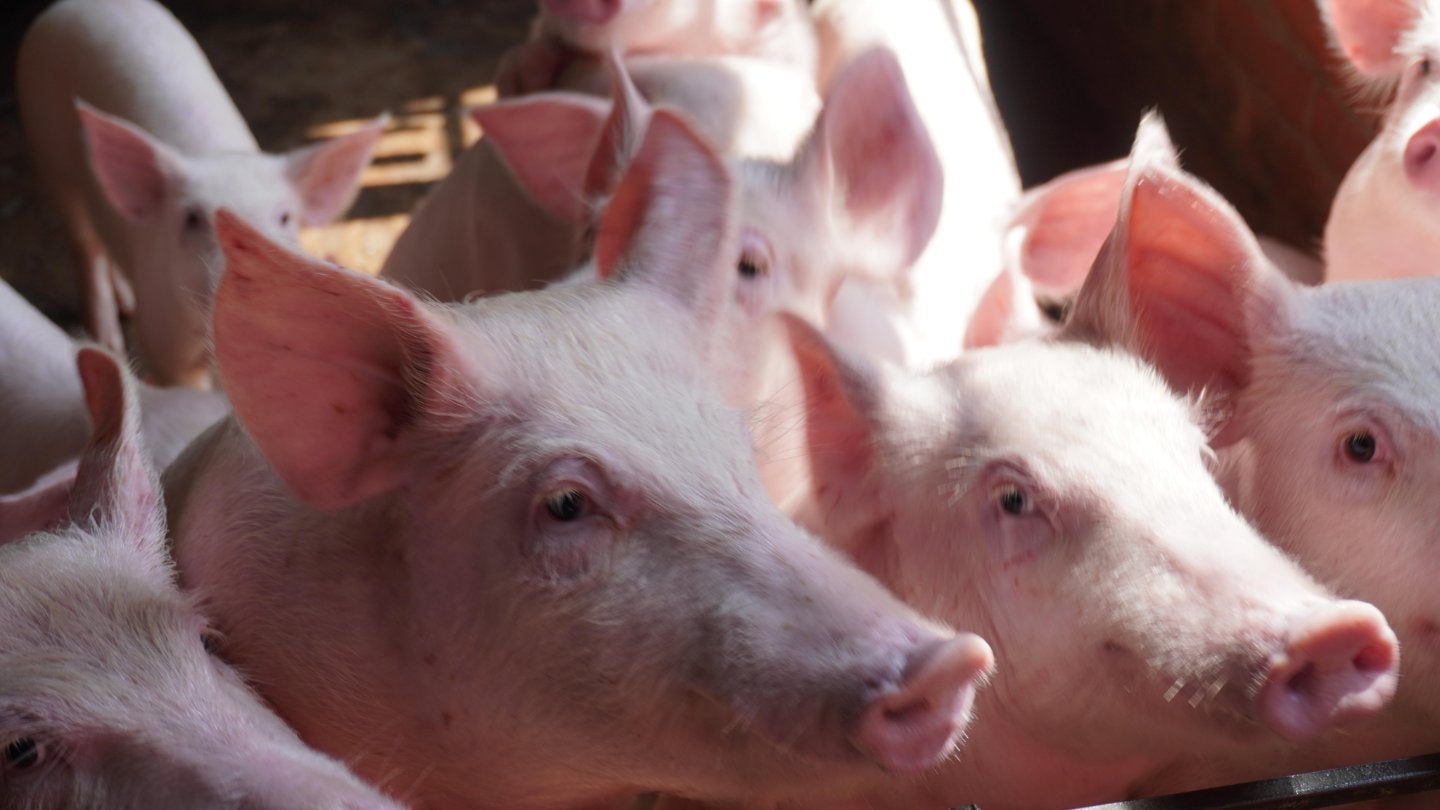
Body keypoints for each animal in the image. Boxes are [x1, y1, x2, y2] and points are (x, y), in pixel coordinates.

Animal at [17, 0, 386, 387]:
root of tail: (72, 6)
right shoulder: (166, 344)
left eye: (285, 218)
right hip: (47, 150)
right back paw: (109, 341)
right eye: (192, 219)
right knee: (84, 244)